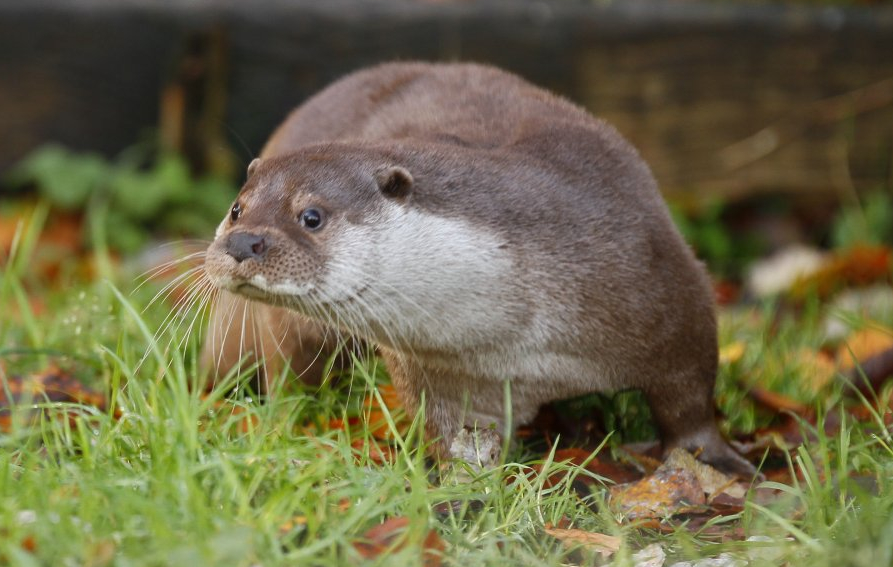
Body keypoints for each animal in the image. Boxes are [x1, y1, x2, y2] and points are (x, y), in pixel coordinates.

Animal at [201, 62, 755, 476]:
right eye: (237, 208)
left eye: (311, 216)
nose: (243, 241)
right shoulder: (444, 373)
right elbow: (457, 438)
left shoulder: (668, 289)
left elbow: (688, 399)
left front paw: (717, 460)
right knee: (288, 371)